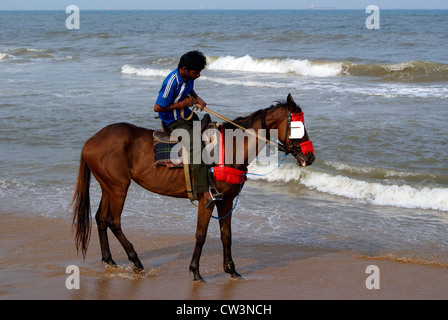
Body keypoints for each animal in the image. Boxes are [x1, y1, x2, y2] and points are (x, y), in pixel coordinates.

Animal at [71, 94, 316, 282]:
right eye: (297, 126)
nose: (310, 157)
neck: (229, 149)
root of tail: (91, 141)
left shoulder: (226, 200)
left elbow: (226, 235)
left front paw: (231, 270)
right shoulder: (206, 199)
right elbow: (201, 234)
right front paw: (196, 271)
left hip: (109, 186)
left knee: (101, 218)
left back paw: (109, 259)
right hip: (119, 188)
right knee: (113, 221)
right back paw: (136, 261)